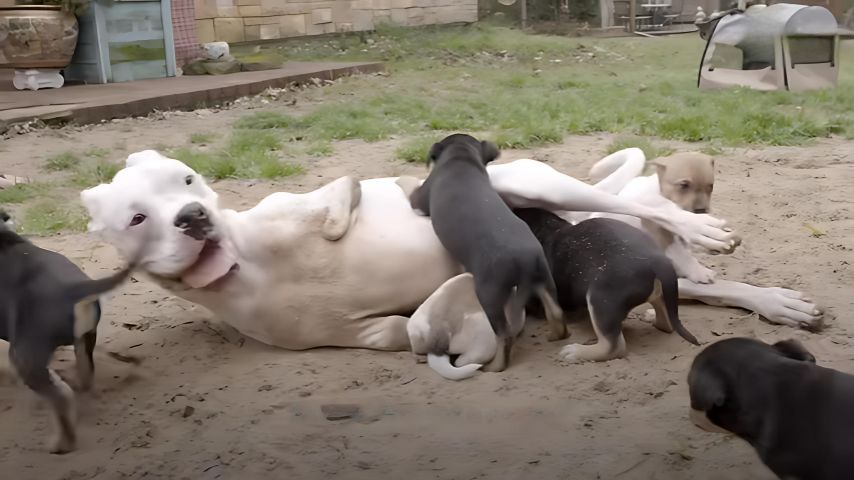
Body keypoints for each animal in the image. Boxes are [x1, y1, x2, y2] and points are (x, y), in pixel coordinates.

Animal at [0, 211, 140, 454]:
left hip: (24, 354)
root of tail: (72, 288)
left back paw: (62, 443)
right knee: (85, 374)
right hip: (85, 338)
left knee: (61, 397)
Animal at [410, 133, 568, 374]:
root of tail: (523, 259)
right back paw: (557, 335)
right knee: (556, 311)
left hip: (489, 294)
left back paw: (495, 367)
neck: (460, 158)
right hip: (544, 276)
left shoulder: (420, 197)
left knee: (504, 335)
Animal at [512, 208, 700, 362]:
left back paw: (576, 352)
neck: (547, 228)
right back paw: (650, 315)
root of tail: (658, 261)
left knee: (613, 347)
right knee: (665, 320)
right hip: (655, 295)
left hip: (600, 299)